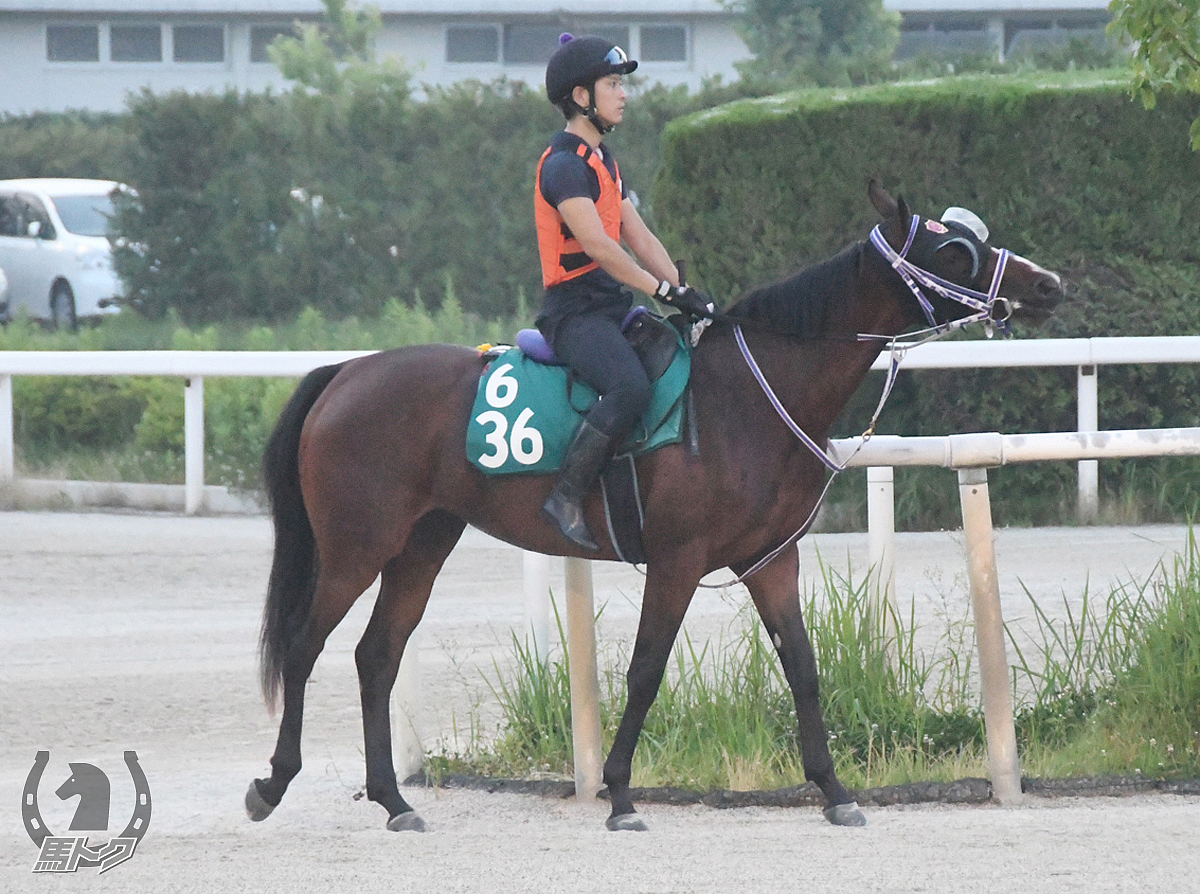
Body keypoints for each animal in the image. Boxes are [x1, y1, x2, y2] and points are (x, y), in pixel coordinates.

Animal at [243, 181, 1060, 830]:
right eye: (955, 250)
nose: (1047, 283)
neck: (745, 398)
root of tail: (349, 372)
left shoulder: (770, 560)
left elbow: (802, 666)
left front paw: (833, 791)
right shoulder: (677, 562)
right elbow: (644, 671)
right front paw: (620, 795)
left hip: (421, 544)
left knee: (376, 655)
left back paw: (394, 801)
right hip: (357, 546)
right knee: (305, 645)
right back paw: (272, 785)